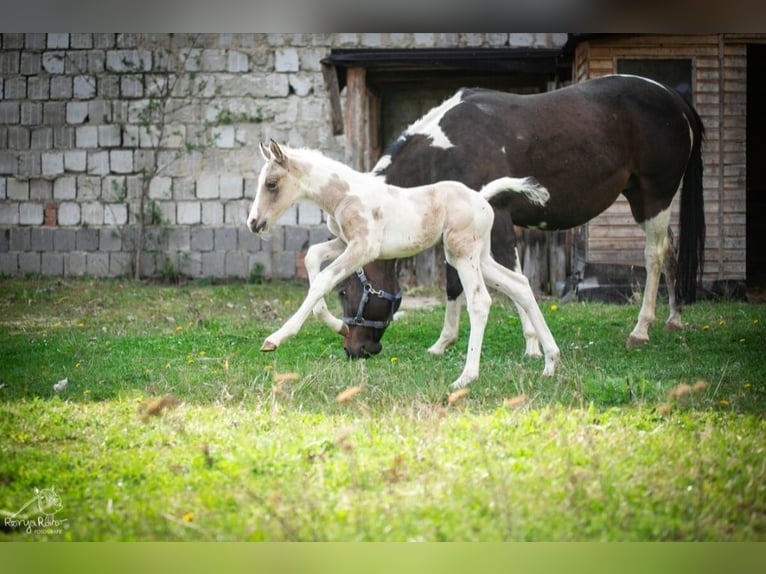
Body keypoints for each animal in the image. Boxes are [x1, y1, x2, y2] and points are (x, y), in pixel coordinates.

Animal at [247, 140, 560, 388]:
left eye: (271, 184)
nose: (253, 223)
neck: (345, 195)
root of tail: (481, 197)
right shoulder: (345, 242)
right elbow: (312, 256)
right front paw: (339, 326)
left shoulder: (365, 247)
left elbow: (323, 280)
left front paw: (275, 338)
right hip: (477, 257)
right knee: (520, 285)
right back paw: (550, 362)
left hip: (463, 254)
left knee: (481, 300)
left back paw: (467, 377)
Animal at [337, 74, 706, 358]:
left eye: (342, 290)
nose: (355, 349)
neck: (447, 150)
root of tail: (675, 99)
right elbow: (454, 283)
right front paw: (443, 343)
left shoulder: (498, 221)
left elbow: (514, 280)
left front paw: (532, 346)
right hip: (642, 199)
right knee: (669, 249)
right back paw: (674, 319)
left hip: (656, 194)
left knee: (653, 255)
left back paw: (641, 330)